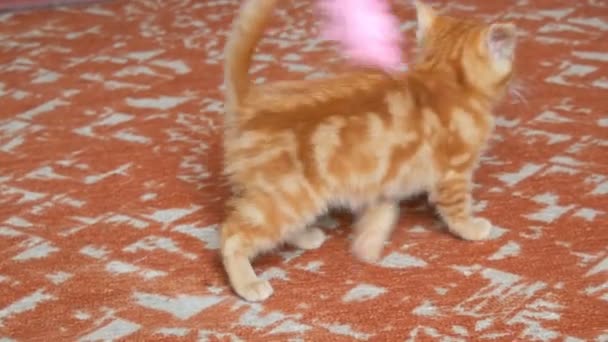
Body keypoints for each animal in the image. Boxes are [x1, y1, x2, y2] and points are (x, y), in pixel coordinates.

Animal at [218, 0, 516, 300]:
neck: (443, 80)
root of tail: (250, 106)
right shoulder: (454, 173)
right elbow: (457, 210)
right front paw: (472, 229)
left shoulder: (382, 179)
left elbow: (382, 213)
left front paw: (367, 246)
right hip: (289, 196)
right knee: (233, 233)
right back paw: (248, 284)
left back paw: (305, 236)